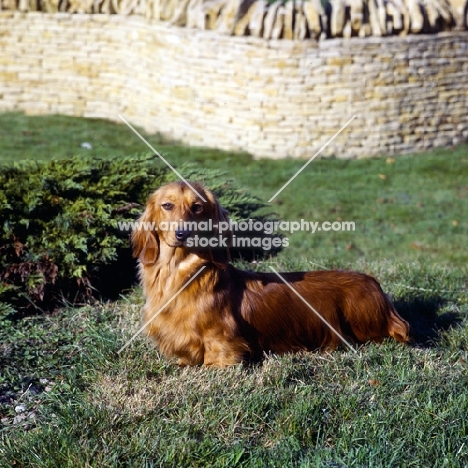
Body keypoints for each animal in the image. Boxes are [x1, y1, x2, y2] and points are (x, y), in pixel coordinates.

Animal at [133, 181, 410, 368]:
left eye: (197, 207)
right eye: (167, 206)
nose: (182, 234)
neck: (178, 274)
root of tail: (375, 284)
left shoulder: (224, 344)